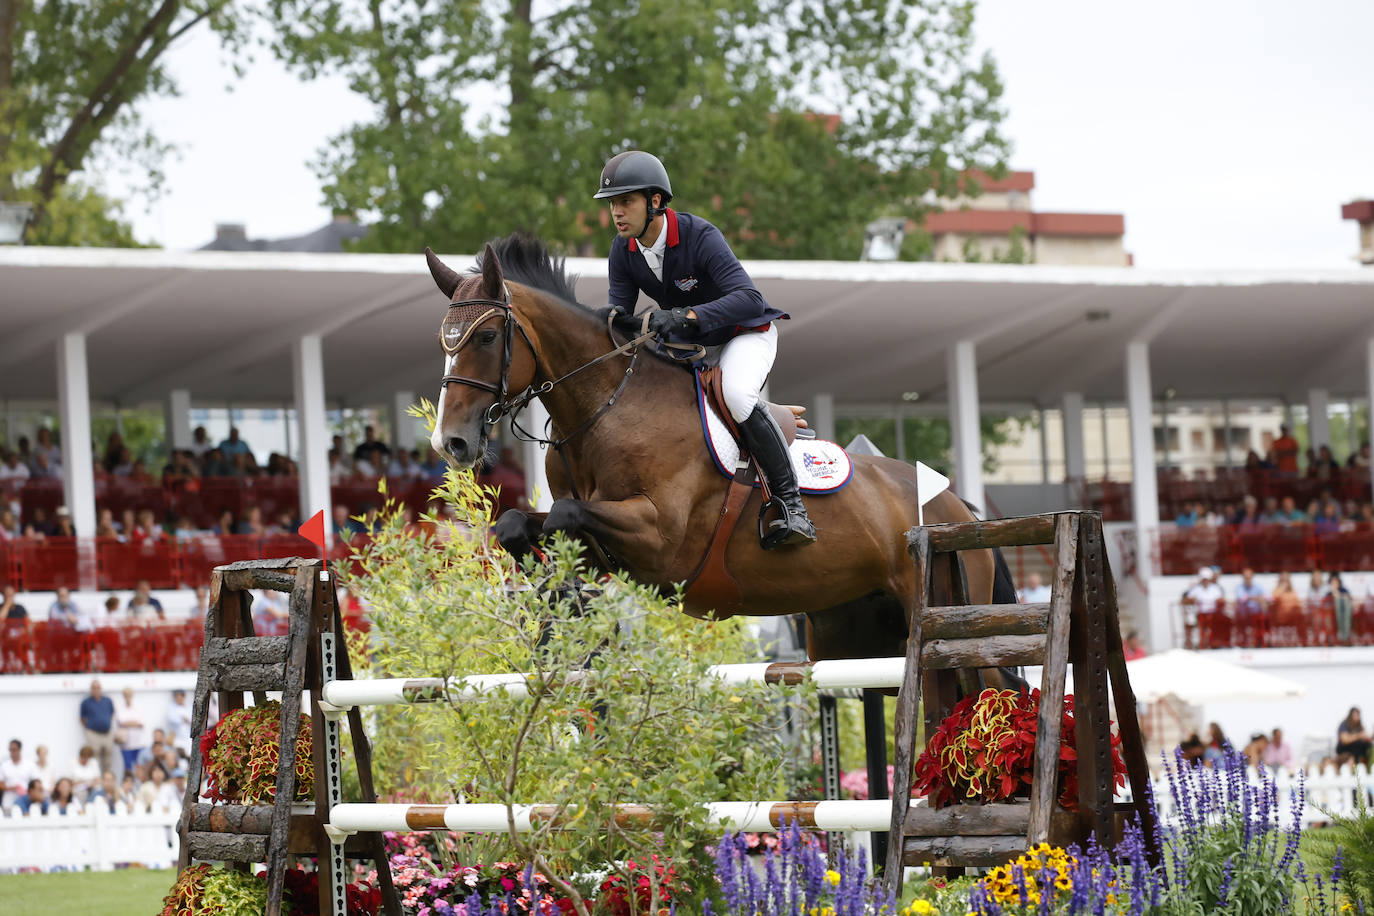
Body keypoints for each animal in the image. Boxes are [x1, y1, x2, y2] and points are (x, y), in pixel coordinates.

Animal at [425, 236, 1022, 667]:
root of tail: (958, 508)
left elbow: (566, 516)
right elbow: (519, 525)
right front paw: (549, 591)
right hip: (847, 631)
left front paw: (563, 598)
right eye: (443, 344)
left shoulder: (660, 537)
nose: (450, 442)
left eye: (485, 338)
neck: (605, 408)